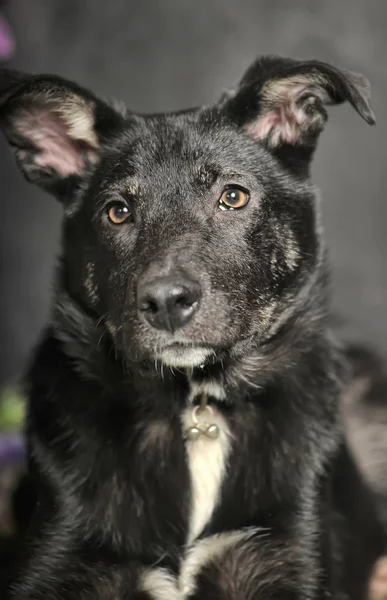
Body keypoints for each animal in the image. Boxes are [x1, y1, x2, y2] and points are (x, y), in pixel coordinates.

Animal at [0, 57, 384, 600]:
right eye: (117, 211)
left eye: (233, 197)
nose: (166, 303)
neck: (197, 406)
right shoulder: (58, 557)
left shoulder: (291, 560)